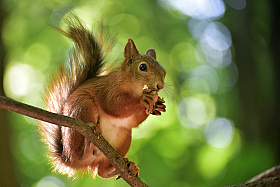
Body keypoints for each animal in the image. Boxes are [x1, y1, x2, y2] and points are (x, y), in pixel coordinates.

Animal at [39, 13, 166, 178]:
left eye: (164, 71)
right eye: (143, 67)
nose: (160, 86)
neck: (134, 87)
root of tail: (67, 159)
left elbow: (132, 121)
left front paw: (157, 105)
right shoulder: (109, 88)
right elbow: (114, 106)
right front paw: (144, 99)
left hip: (123, 138)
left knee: (101, 172)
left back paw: (127, 167)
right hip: (82, 107)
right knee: (78, 153)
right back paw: (86, 144)